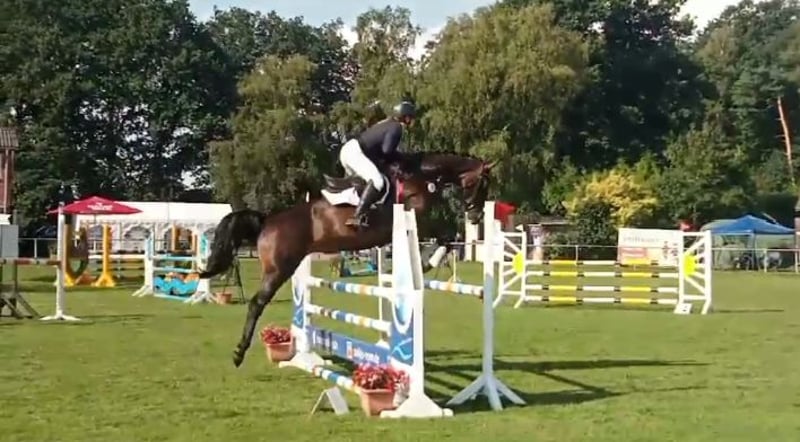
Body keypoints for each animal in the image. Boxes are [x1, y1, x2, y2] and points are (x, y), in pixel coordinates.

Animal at [200, 152, 496, 367]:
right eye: (483, 184)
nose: (476, 217)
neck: (422, 177)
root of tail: (267, 221)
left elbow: (447, 236)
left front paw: (427, 262)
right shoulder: (417, 218)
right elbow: (446, 235)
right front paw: (426, 263)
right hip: (278, 270)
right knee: (256, 304)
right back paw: (239, 352)